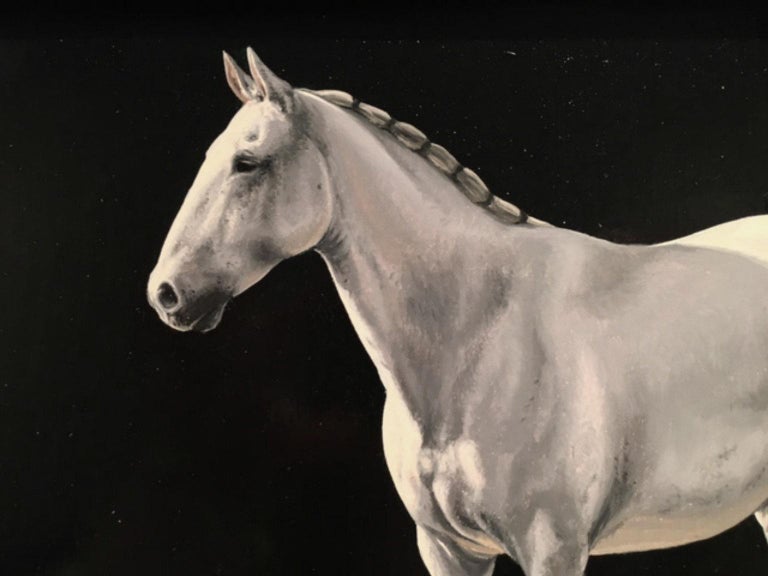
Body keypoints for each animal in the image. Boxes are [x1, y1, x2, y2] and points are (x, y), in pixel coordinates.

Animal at [147, 48, 768, 576]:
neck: (478, 332)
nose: (166, 294)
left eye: (247, 162)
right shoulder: (446, 548)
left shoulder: (554, 549)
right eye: (210, 157)